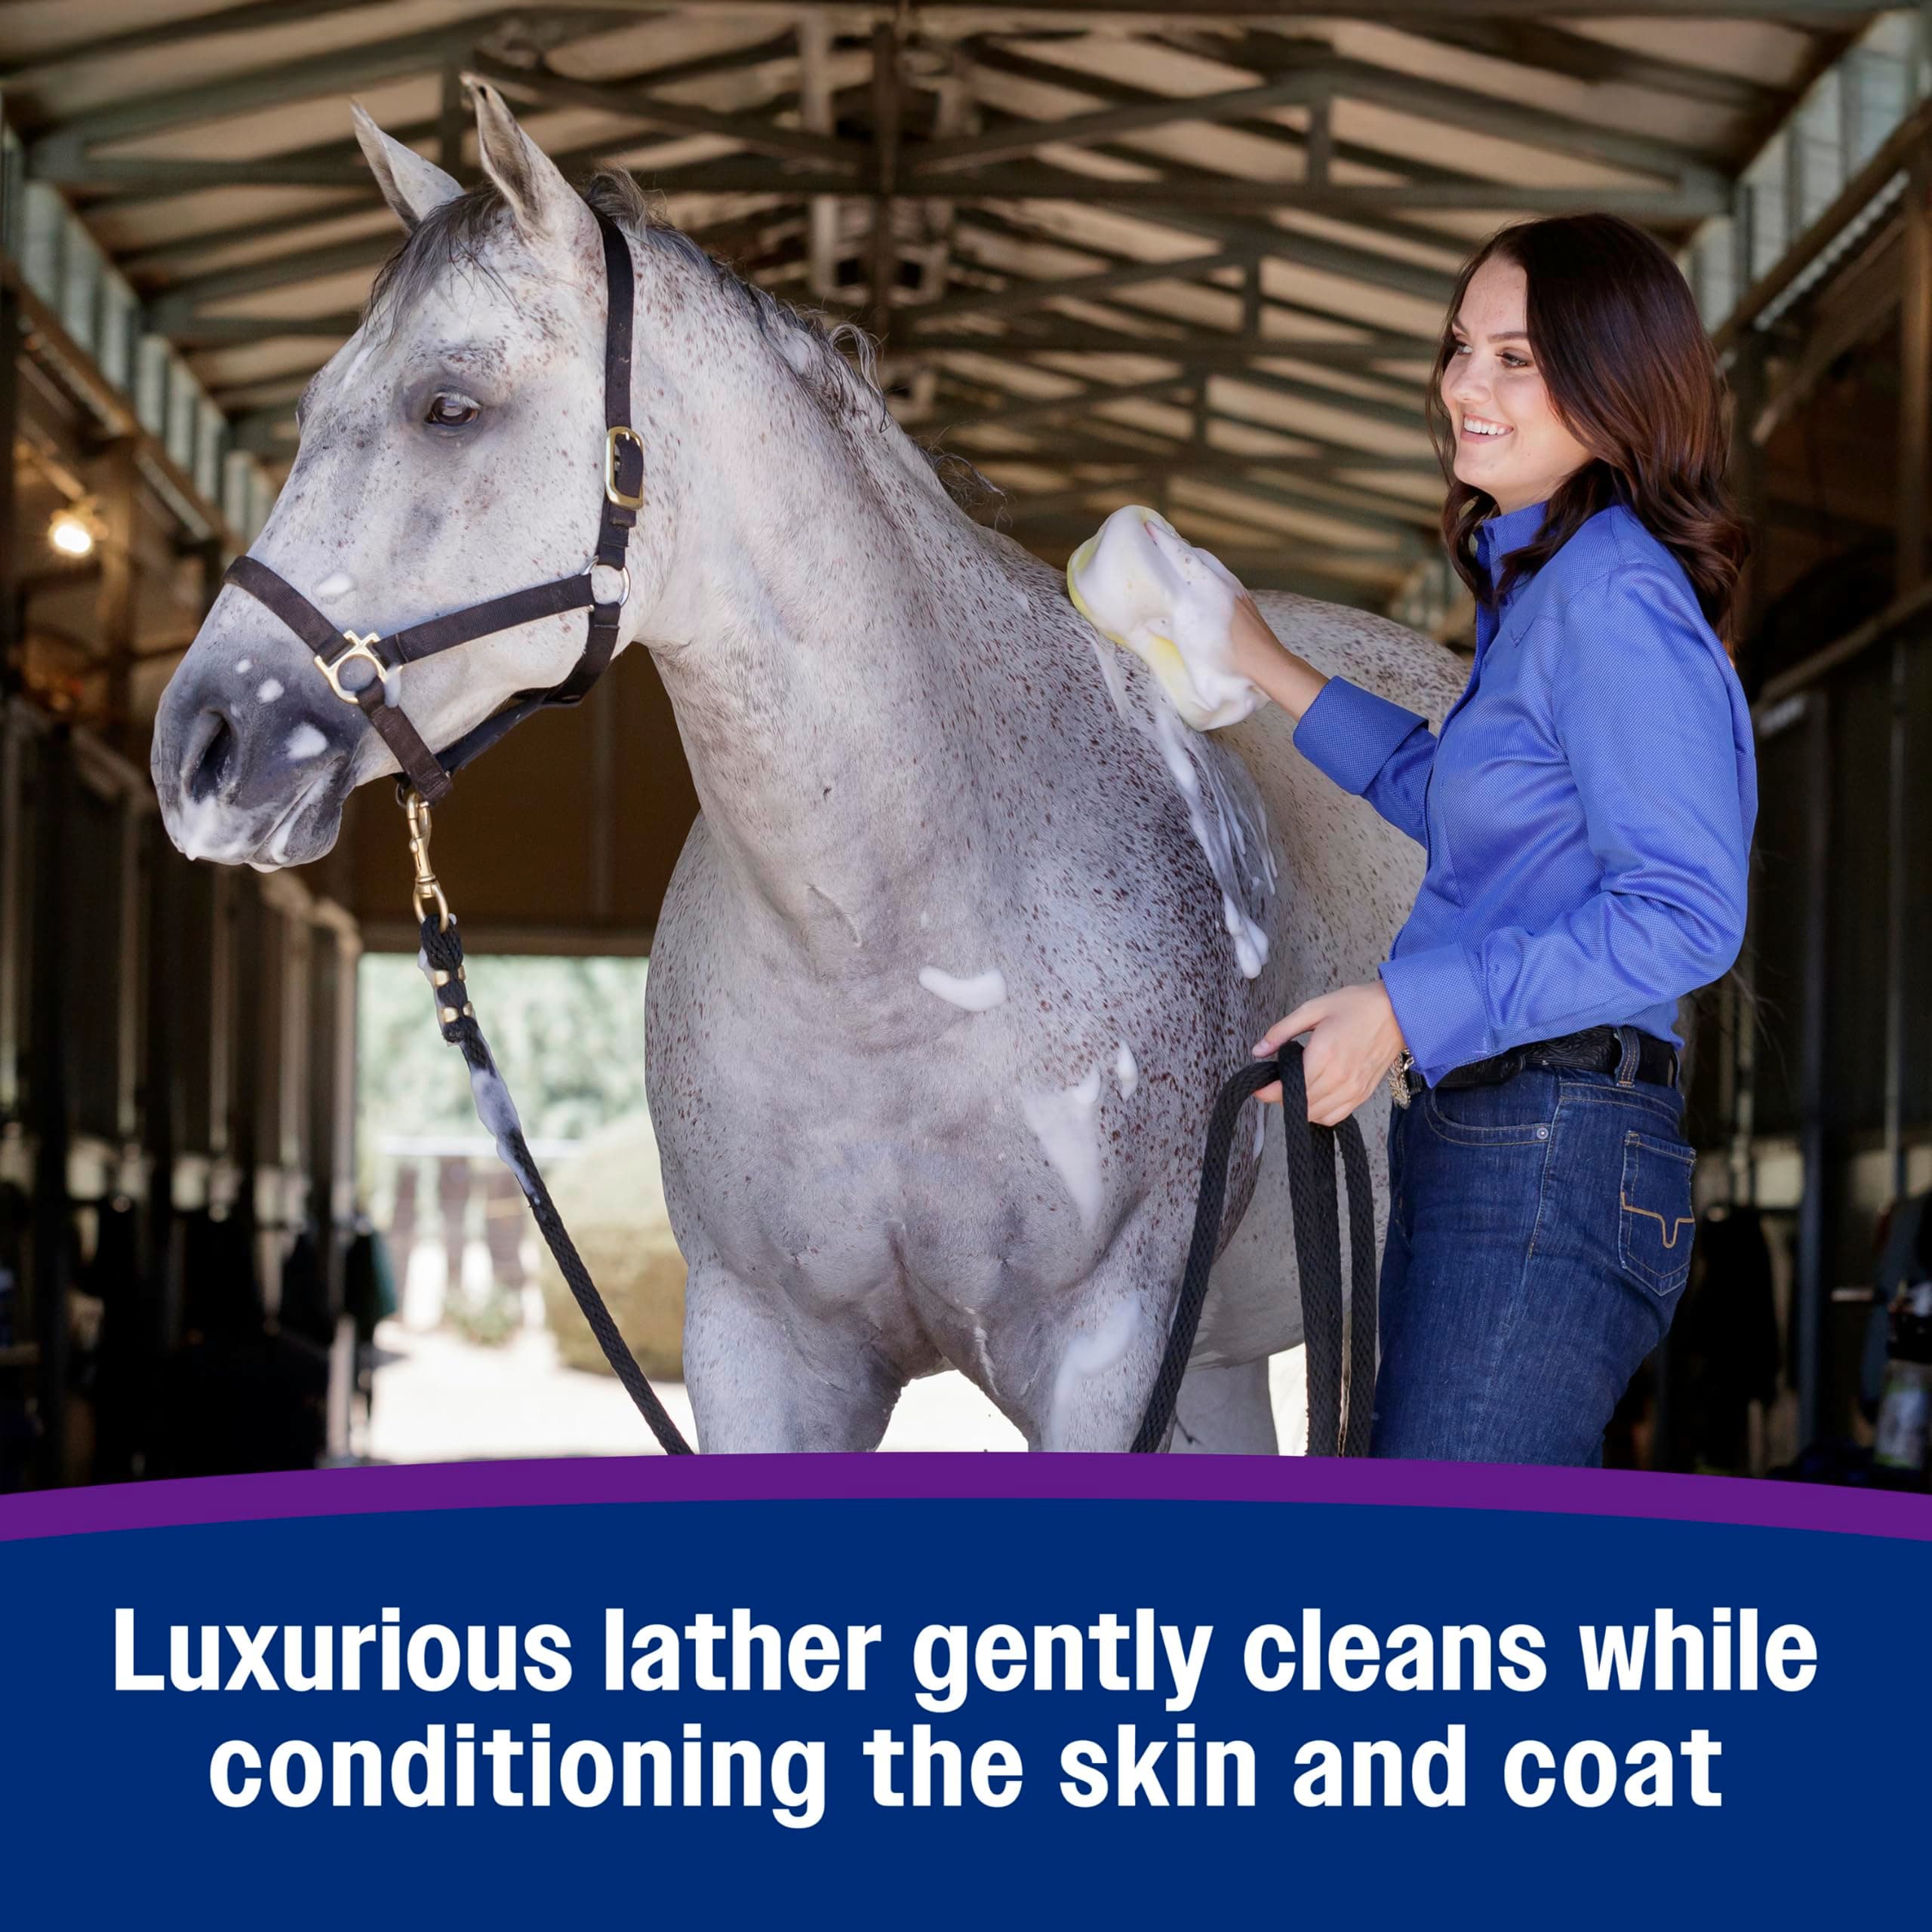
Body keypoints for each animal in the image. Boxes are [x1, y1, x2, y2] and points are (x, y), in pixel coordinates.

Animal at [150, 82, 1465, 1453]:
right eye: (310, 412)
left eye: (449, 405)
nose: (202, 746)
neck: (896, 940)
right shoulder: (760, 1350)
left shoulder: (1109, 1352)